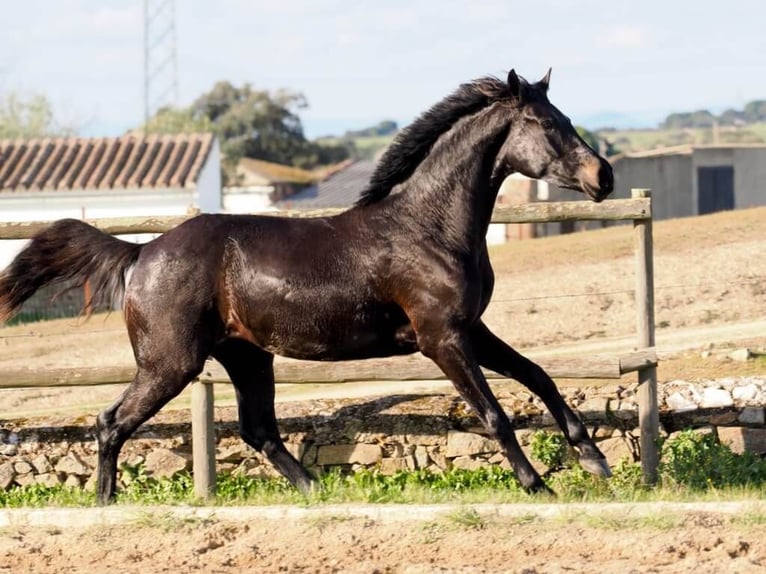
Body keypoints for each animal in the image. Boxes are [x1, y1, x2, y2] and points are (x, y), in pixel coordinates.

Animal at [0, 68, 616, 504]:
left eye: (564, 116)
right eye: (546, 125)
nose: (603, 176)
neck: (427, 225)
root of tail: (142, 252)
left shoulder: (471, 329)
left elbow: (540, 377)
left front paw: (596, 461)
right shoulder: (441, 338)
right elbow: (494, 413)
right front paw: (539, 485)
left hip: (247, 357)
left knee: (258, 430)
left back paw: (318, 490)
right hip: (169, 363)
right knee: (112, 423)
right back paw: (106, 505)